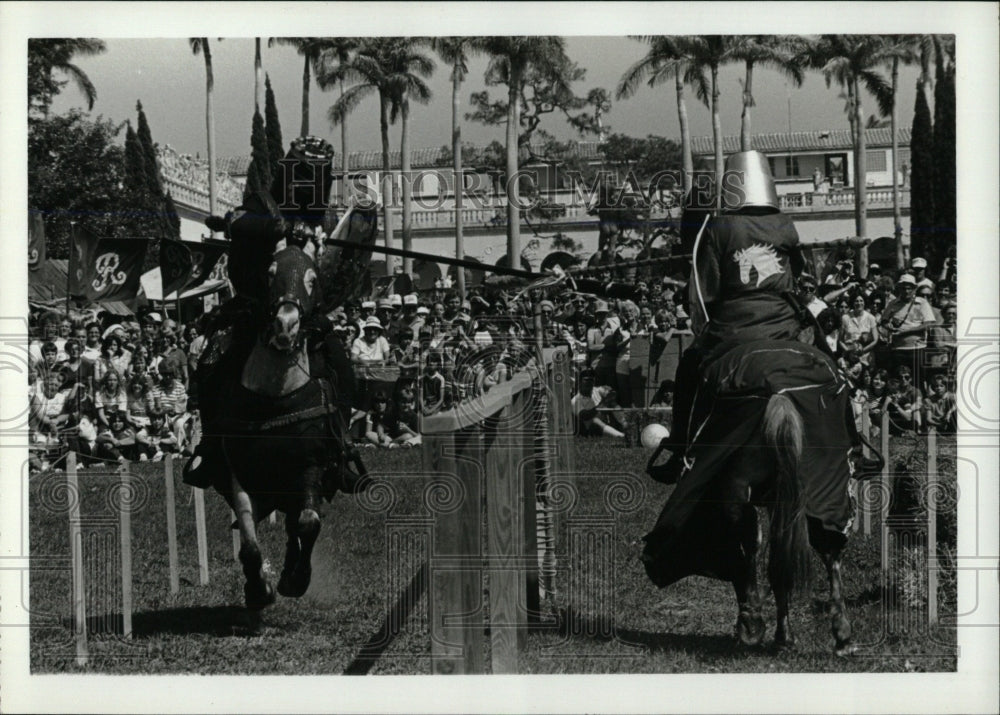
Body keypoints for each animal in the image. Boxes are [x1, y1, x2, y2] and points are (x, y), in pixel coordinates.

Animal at [644, 340, 872, 656]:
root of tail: (779, 396)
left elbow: (749, 550)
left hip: (737, 493)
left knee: (747, 548)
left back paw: (752, 621)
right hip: (824, 492)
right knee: (827, 551)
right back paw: (839, 636)